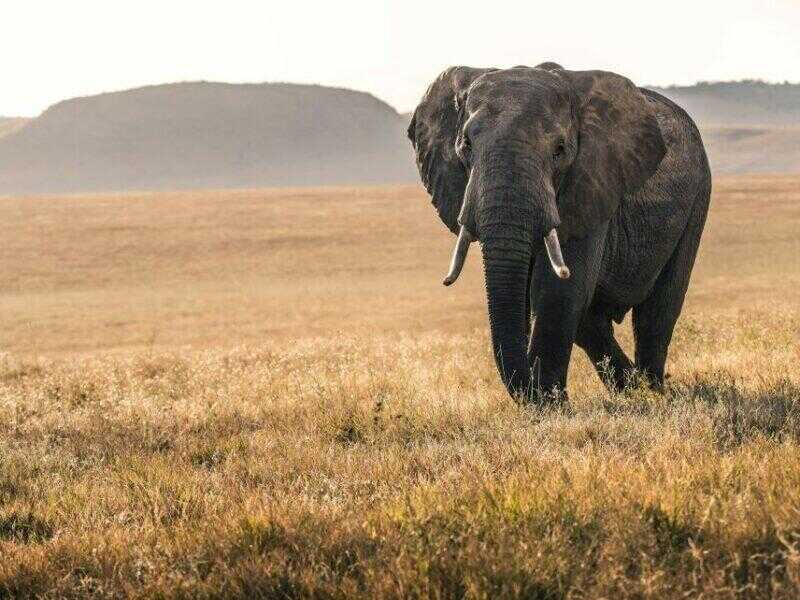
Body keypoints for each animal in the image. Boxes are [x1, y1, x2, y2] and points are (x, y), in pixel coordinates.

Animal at [407, 63, 711, 402]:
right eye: (465, 145)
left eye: (559, 150)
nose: (532, 389)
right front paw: (547, 400)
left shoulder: (591, 183)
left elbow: (557, 291)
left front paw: (551, 406)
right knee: (592, 321)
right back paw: (630, 390)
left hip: (698, 196)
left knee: (657, 311)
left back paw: (652, 393)